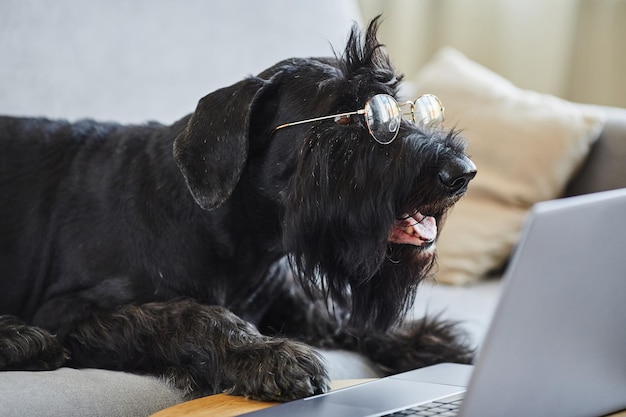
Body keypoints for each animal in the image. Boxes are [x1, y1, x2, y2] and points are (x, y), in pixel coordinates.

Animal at [0, 19, 472, 400]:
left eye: (404, 106)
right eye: (344, 118)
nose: (462, 172)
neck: (237, 239)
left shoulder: (283, 296)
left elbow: (331, 313)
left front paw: (420, 339)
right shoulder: (69, 311)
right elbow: (188, 315)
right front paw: (268, 355)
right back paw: (23, 339)